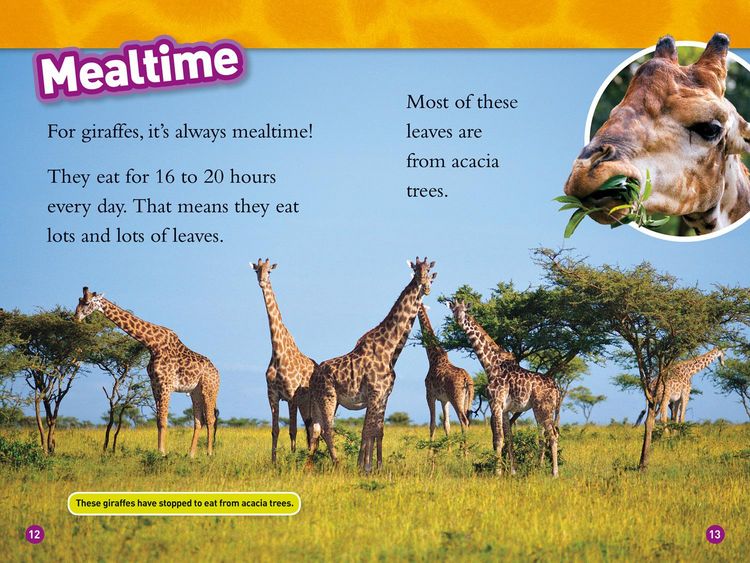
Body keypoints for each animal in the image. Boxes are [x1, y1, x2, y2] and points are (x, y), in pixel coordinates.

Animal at [74, 287, 219, 457]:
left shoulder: (165, 385)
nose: (76, 317)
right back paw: (190, 455)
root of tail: (217, 372)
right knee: (199, 421)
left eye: (87, 303)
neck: (152, 344)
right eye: (79, 300)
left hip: (209, 389)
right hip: (194, 392)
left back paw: (209, 453)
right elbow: (158, 420)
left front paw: (162, 452)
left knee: (210, 419)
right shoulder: (154, 384)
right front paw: (159, 451)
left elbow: (163, 420)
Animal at [252, 259, 317, 462]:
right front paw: (273, 462)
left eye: (269, 272)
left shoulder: (291, 396)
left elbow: (293, 430)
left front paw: (293, 460)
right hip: (305, 404)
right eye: (256, 270)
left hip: (310, 402)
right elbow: (275, 430)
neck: (278, 353)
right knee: (311, 428)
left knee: (314, 428)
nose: (262, 281)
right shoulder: (272, 395)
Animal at [308, 257, 437, 472]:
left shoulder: (384, 396)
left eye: (429, 273)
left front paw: (377, 467)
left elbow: (377, 431)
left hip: (321, 401)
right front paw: (365, 468)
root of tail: (312, 377)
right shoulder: (375, 393)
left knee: (316, 429)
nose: (425, 287)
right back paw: (337, 464)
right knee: (326, 429)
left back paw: (307, 467)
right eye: (416, 272)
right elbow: (368, 430)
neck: (390, 350)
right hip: (328, 397)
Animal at [417, 304, 474, 439]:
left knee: (463, 420)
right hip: (468, 398)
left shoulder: (430, 395)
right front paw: (447, 446)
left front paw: (431, 446)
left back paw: (464, 446)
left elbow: (432, 424)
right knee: (467, 420)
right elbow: (446, 424)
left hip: (456, 398)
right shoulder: (444, 399)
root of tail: (466, 379)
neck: (433, 358)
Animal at [446, 299, 560, 476]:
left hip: (543, 408)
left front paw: (497, 472)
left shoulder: (496, 403)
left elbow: (498, 438)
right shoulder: (505, 409)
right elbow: (509, 438)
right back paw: (542, 469)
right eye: (453, 310)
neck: (491, 365)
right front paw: (512, 471)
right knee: (546, 436)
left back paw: (554, 473)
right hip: (542, 409)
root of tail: (557, 388)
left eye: (465, 311)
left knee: (553, 435)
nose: (458, 319)